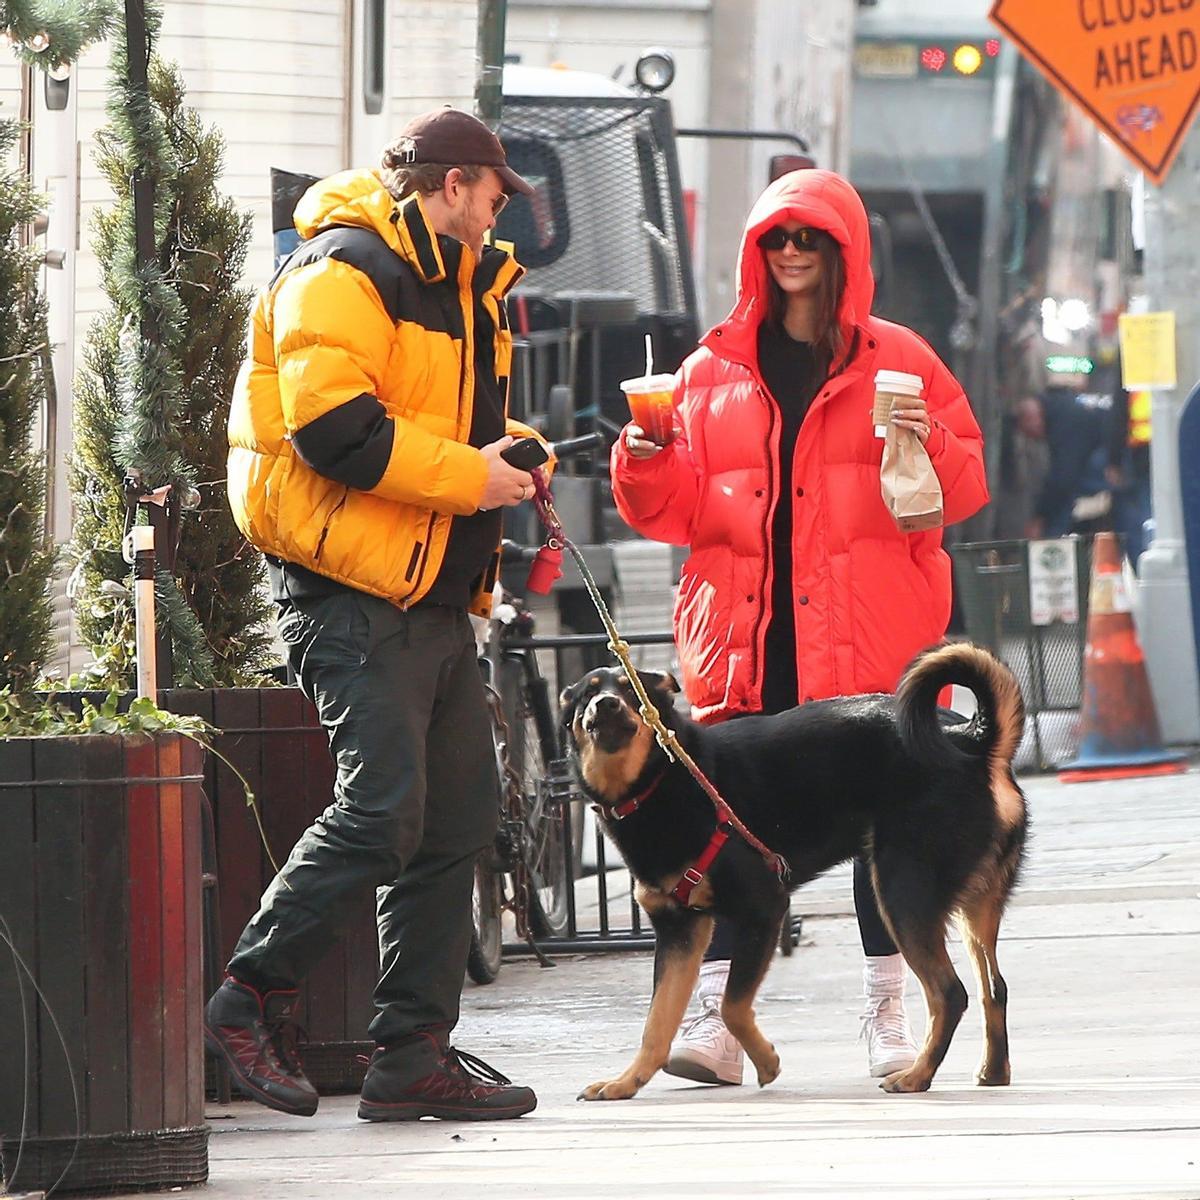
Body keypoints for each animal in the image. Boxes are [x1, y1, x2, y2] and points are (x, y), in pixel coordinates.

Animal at [556, 643, 1027, 1099]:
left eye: (629, 690)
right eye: (586, 695)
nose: (605, 704)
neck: (659, 780)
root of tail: (970, 740)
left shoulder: (764, 907)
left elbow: (732, 1004)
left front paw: (766, 1062)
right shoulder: (679, 931)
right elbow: (657, 1023)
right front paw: (625, 1083)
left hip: (901, 890)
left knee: (949, 994)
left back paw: (916, 1076)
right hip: (974, 907)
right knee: (994, 987)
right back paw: (993, 1072)